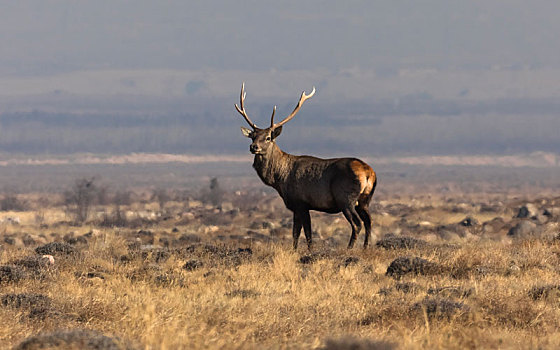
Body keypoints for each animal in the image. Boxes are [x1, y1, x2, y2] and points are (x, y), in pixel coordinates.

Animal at [234, 83, 378, 250]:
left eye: (268, 137)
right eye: (252, 136)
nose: (253, 147)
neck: (279, 179)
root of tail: (369, 173)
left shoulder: (301, 202)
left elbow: (307, 233)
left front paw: (309, 251)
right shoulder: (296, 207)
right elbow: (295, 233)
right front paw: (294, 250)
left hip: (346, 199)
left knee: (357, 224)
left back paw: (349, 248)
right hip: (365, 200)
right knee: (369, 221)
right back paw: (365, 247)